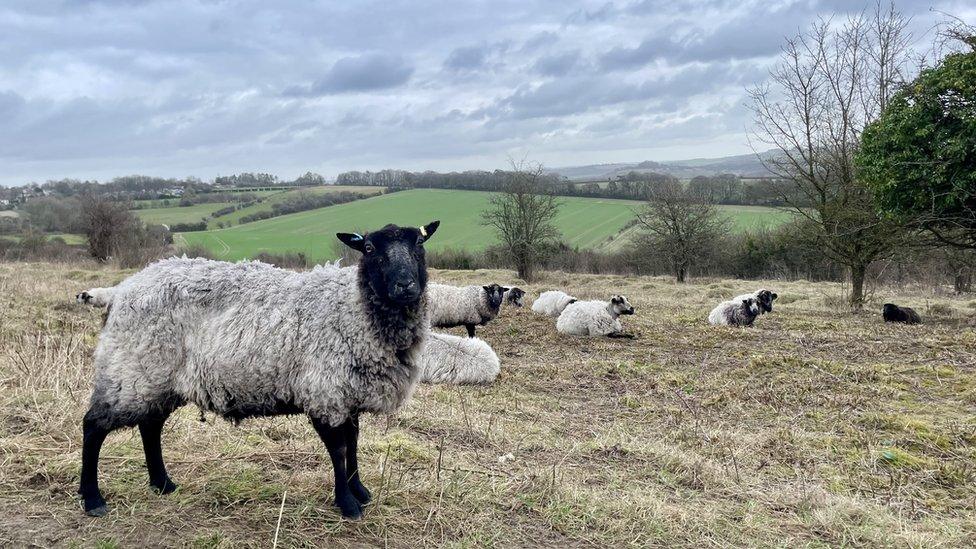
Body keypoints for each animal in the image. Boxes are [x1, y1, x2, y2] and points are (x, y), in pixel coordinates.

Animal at [78, 219, 440, 520]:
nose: (405, 285)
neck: (354, 309)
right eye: (369, 249)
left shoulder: (345, 394)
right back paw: (93, 499)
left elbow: (353, 444)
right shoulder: (324, 392)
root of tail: (120, 290)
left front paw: (360, 491)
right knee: (94, 426)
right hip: (129, 368)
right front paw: (348, 504)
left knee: (150, 426)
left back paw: (163, 484)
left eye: (419, 244)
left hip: (156, 377)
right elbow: (338, 451)